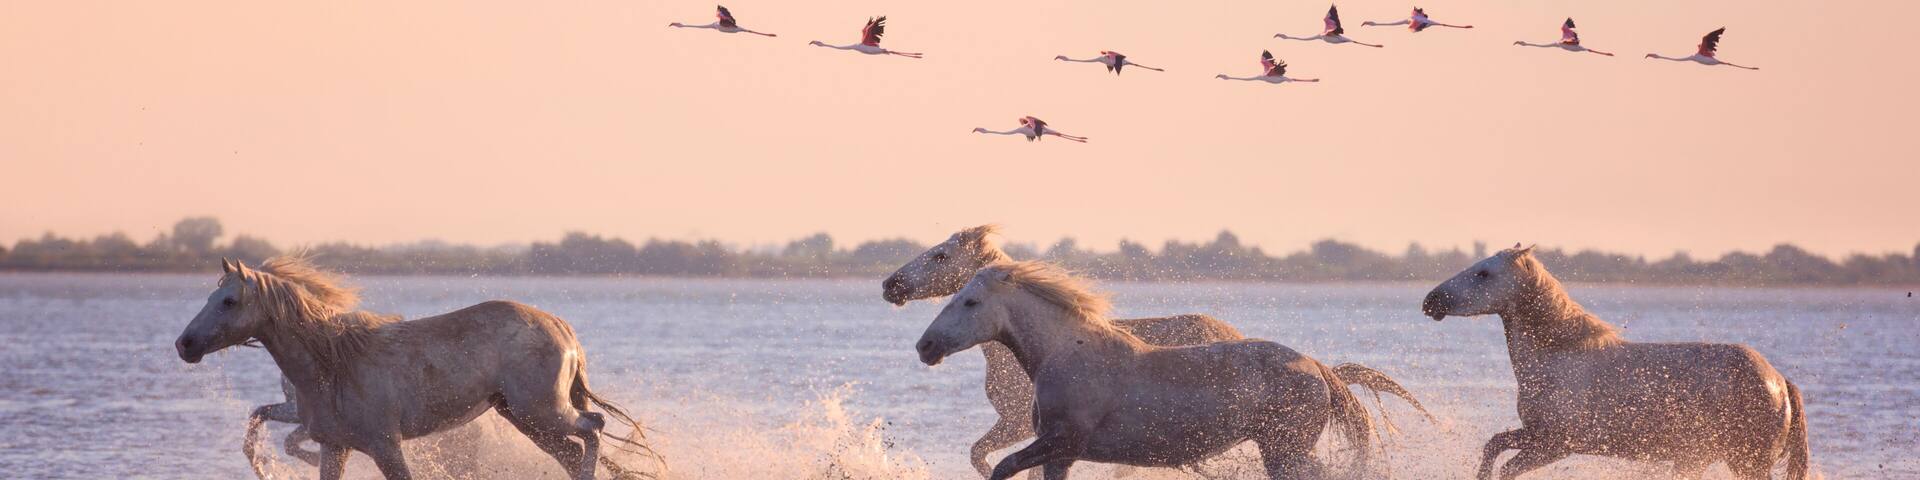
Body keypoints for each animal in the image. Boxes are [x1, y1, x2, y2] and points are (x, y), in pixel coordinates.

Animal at [174, 256, 661, 480]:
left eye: (229, 300)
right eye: (210, 295)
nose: (184, 345)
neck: (334, 363)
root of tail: (562, 327)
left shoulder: (386, 445)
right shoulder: (336, 446)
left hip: (541, 411)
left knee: (593, 428)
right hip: (524, 418)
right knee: (574, 449)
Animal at [884, 225, 1433, 478]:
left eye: (969, 299)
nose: (924, 346)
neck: (1065, 354)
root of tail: (1316, 367)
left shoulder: (1056, 440)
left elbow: (996, 465)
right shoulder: (1060, 452)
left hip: (1286, 449)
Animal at [1422, 245, 1809, 479]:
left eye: (1484, 273)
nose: (1430, 301)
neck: (1558, 360)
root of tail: (1780, 382)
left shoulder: (1555, 445)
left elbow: (1506, 467)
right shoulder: (1534, 434)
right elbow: (1494, 445)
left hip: (1746, 462)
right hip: (1698, 458)